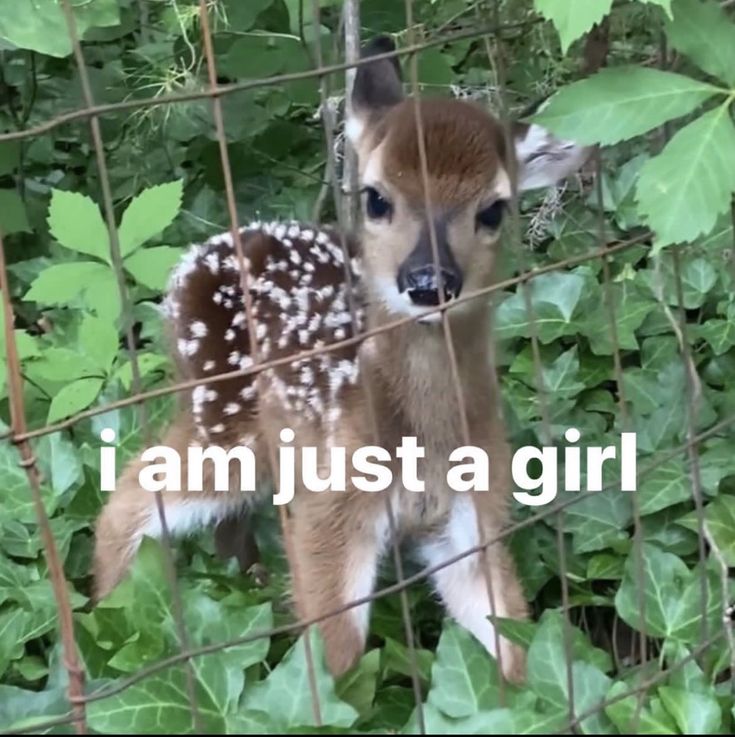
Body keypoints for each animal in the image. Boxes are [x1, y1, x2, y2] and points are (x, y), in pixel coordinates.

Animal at [92, 37, 588, 680]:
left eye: (494, 209)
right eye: (376, 198)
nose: (429, 282)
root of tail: (192, 259)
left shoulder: (472, 517)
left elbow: (516, 644)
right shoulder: (329, 512)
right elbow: (338, 661)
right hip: (222, 420)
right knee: (127, 500)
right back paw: (110, 628)